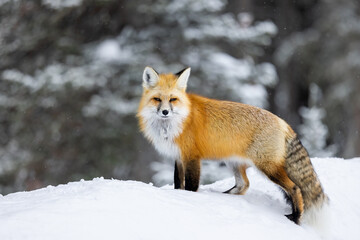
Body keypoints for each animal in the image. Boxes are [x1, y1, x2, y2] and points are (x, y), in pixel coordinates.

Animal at [137, 66, 330, 225]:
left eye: (173, 99)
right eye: (157, 99)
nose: (165, 112)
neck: (174, 124)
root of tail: (283, 122)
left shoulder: (192, 157)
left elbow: (191, 186)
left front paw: (190, 199)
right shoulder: (178, 156)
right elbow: (178, 183)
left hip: (267, 167)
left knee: (295, 188)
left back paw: (296, 218)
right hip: (235, 163)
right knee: (244, 185)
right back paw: (224, 197)